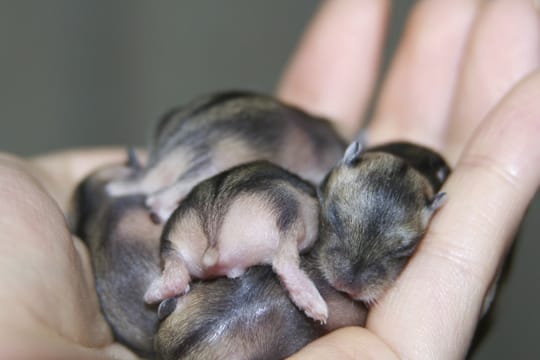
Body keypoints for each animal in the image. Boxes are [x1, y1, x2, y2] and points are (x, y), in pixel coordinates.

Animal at [143, 161, 326, 324]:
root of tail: (212, 219)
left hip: (172, 240)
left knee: (176, 276)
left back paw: (154, 292)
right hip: (290, 212)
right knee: (284, 262)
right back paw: (315, 305)